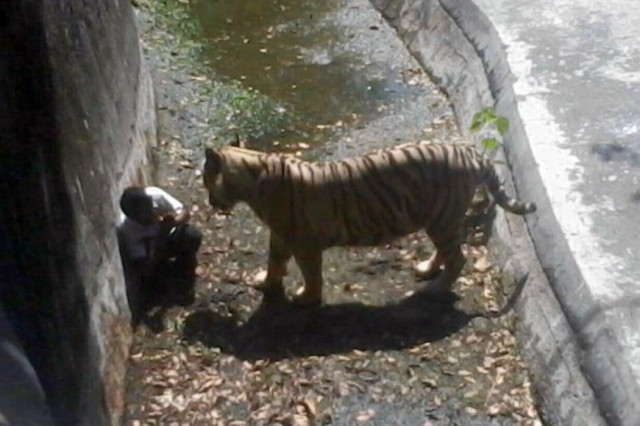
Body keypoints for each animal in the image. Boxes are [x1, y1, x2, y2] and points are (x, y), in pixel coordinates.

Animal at [204, 139, 536, 306]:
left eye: (206, 180)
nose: (209, 202)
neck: (254, 172)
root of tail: (469, 152)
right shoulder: (282, 236)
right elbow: (275, 261)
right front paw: (266, 282)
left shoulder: (304, 243)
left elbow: (311, 274)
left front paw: (306, 297)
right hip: (438, 220)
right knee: (447, 252)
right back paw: (427, 269)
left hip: (442, 219)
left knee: (458, 258)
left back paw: (434, 289)